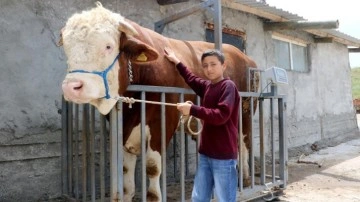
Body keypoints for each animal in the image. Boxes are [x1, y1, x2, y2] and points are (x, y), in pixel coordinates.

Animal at [58, 1, 256, 202]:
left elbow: (152, 167)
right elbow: (126, 173)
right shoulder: (125, 131)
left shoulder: (163, 121)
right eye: (67, 49)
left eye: (108, 46)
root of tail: (244, 56)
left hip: (245, 111)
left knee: (244, 141)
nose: (71, 87)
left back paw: (246, 179)